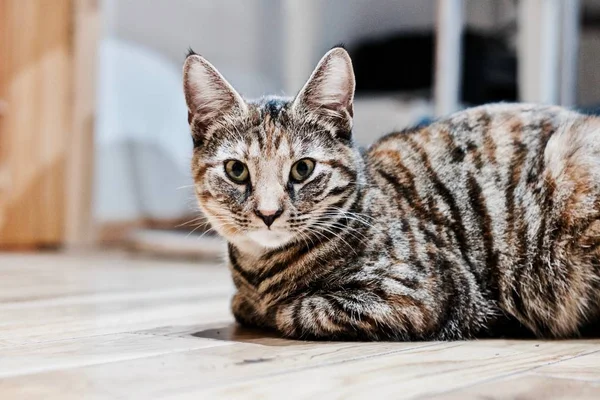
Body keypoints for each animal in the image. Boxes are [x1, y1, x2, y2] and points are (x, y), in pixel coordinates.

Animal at [182, 47, 600, 340]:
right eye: (237, 170)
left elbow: (295, 309)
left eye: (303, 168)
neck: (259, 273)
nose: (268, 214)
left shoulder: (420, 294)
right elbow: (243, 304)